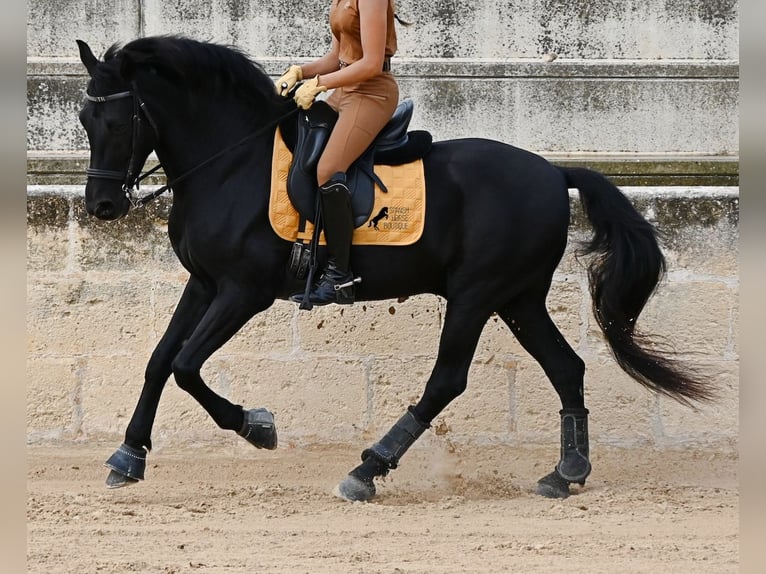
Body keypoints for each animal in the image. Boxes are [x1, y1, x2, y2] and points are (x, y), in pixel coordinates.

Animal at [75, 35, 713, 501]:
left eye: (118, 122)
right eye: (83, 118)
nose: (102, 207)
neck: (233, 162)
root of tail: (557, 172)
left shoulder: (242, 291)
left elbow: (186, 365)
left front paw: (258, 427)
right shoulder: (203, 284)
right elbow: (161, 360)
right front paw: (129, 456)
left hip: (478, 294)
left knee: (447, 380)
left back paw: (368, 470)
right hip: (519, 297)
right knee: (566, 367)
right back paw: (567, 472)